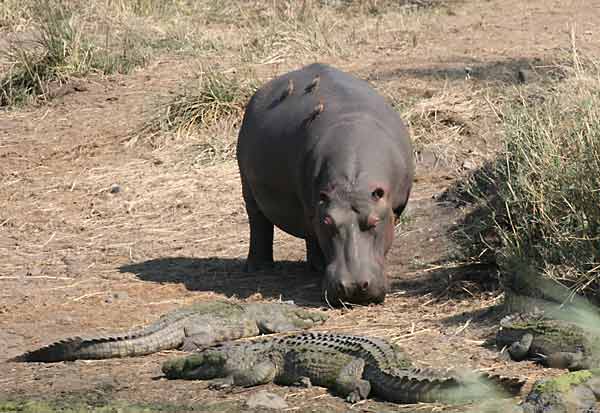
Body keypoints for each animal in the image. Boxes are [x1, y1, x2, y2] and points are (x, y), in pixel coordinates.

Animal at [237, 63, 414, 302]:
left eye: (375, 221)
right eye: (328, 222)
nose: (353, 287)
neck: (352, 186)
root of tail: (260, 92)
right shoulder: (316, 209)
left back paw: (314, 267)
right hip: (250, 188)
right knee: (259, 223)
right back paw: (261, 267)